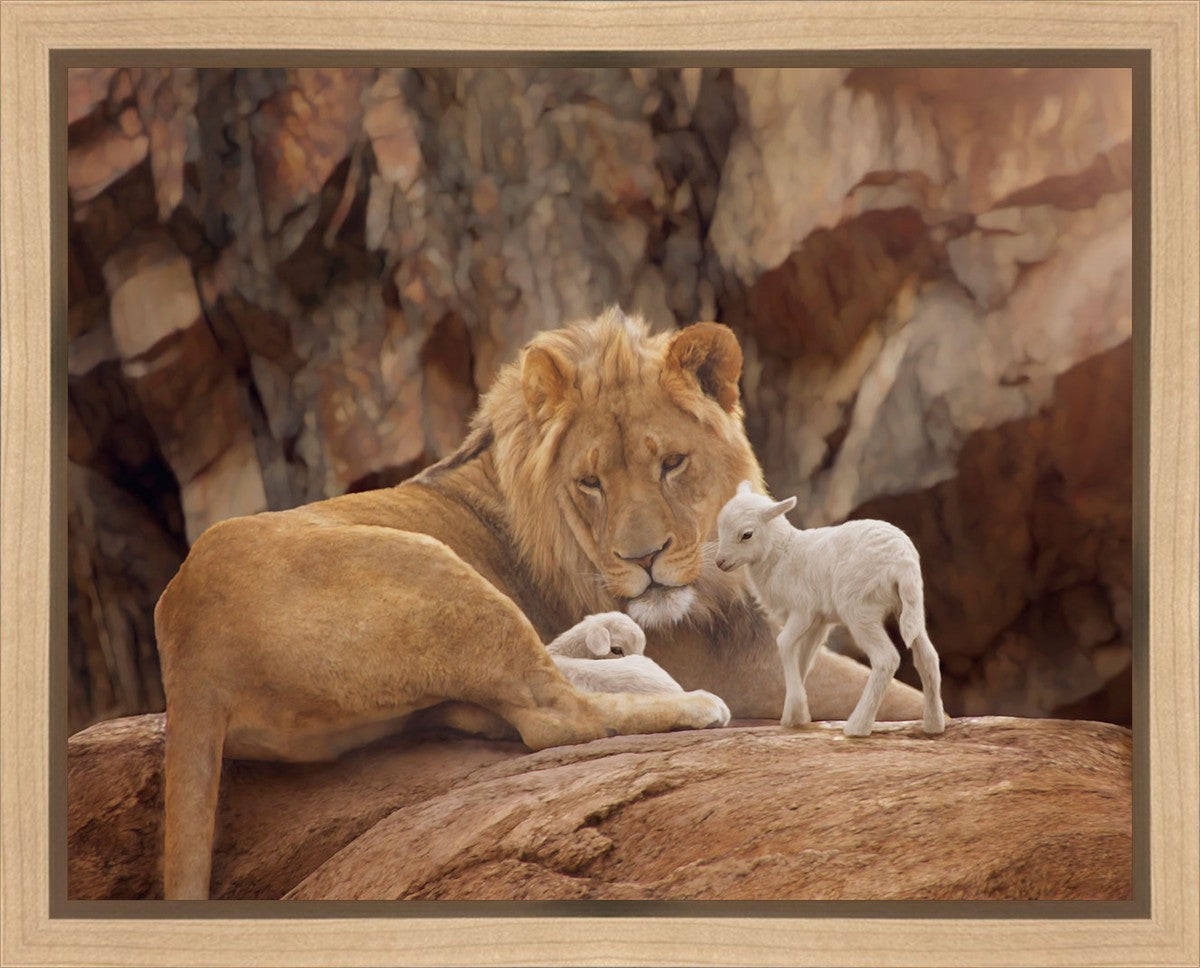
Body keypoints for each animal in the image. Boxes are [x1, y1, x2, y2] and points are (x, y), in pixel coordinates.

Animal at [715, 481, 946, 737]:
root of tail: (902, 562)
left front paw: (796, 711)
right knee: (928, 657)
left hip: (859, 608)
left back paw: (857, 726)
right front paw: (795, 715)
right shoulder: (818, 621)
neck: (782, 554)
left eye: (746, 534)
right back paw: (934, 725)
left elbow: (784, 643)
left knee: (886, 659)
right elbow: (804, 659)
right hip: (909, 606)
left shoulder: (803, 609)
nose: (720, 562)